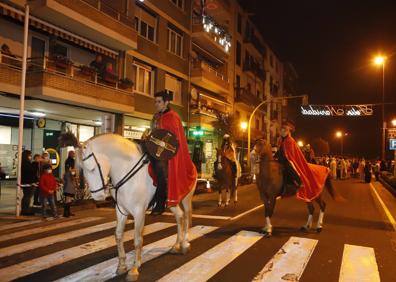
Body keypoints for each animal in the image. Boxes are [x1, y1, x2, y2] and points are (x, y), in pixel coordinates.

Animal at [62, 133, 196, 280]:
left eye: (92, 168)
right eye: (83, 171)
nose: (98, 196)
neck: (126, 169)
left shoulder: (139, 212)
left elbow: (137, 239)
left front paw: (134, 269)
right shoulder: (121, 210)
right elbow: (118, 235)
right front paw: (121, 266)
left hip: (186, 198)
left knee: (187, 217)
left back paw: (185, 244)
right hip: (171, 203)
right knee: (180, 216)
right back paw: (176, 245)